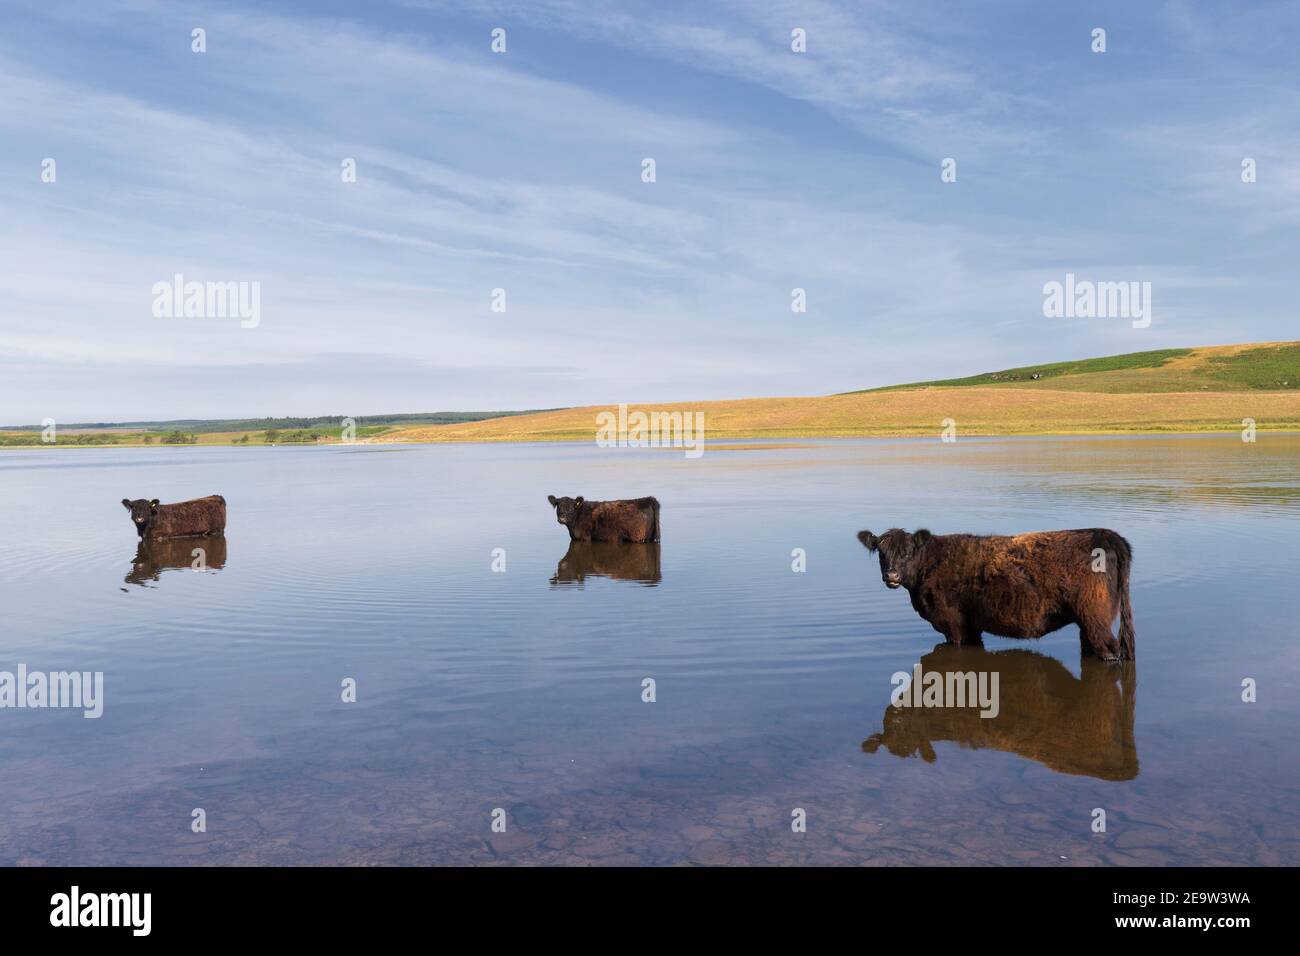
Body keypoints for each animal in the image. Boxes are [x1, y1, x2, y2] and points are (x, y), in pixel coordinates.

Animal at [857, 528, 1133, 660]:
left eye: (908, 552)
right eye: (881, 553)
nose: (891, 576)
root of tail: (1105, 534)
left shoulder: (954, 624)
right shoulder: (971, 627)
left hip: (1095, 619)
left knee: (1110, 651)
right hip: (1088, 623)